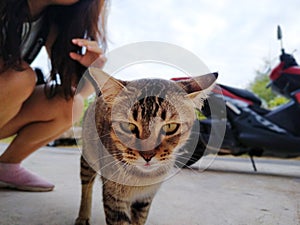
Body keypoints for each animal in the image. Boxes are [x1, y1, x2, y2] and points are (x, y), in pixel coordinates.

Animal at [74, 67, 216, 224]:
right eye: (128, 126)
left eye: (170, 127)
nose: (147, 155)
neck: (142, 178)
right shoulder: (114, 199)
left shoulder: (144, 199)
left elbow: (139, 219)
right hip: (88, 159)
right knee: (86, 185)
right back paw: (83, 216)